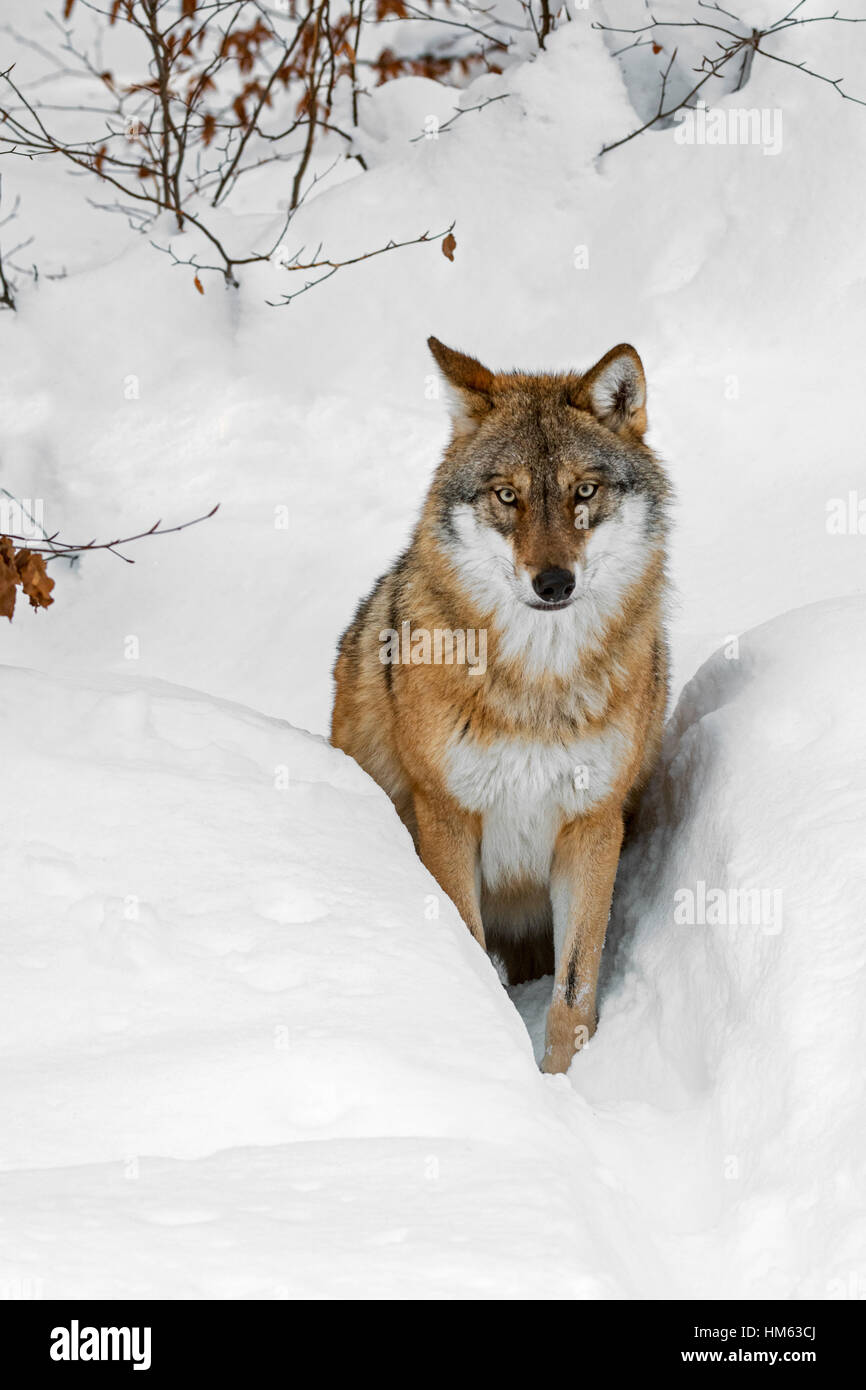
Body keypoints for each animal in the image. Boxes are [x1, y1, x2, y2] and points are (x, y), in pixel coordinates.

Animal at [331, 337, 671, 1073]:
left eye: (583, 491)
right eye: (507, 496)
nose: (553, 583)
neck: (536, 687)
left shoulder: (592, 827)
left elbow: (573, 991)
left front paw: (562, 1081)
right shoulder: (447, 815)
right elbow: (468, 944)